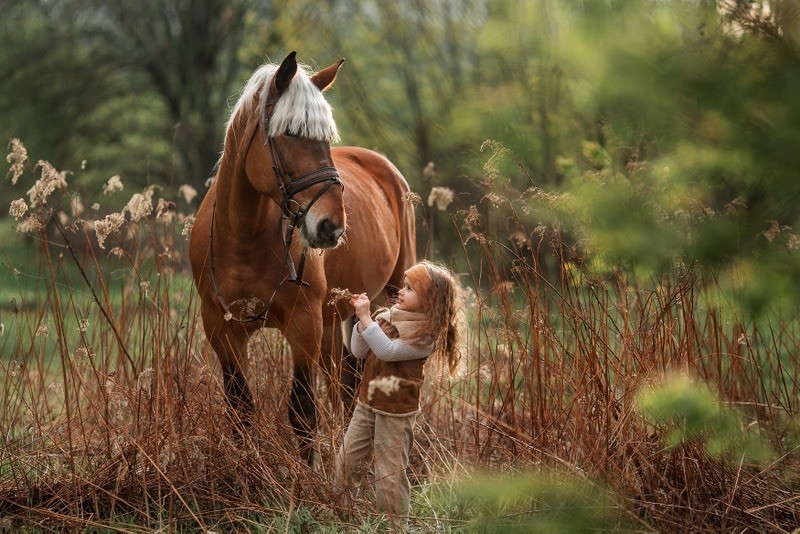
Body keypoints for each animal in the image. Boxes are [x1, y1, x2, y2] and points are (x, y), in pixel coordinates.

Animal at [190, 54, 416, 464]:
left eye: (326, 138)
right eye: (291, 133)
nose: (331, 227)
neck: (243, 239)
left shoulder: (303, 323)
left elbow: (302, 411)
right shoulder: (221, 327)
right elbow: (240, 407)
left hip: (382, 300)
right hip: (334, 322)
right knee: (344, 388)